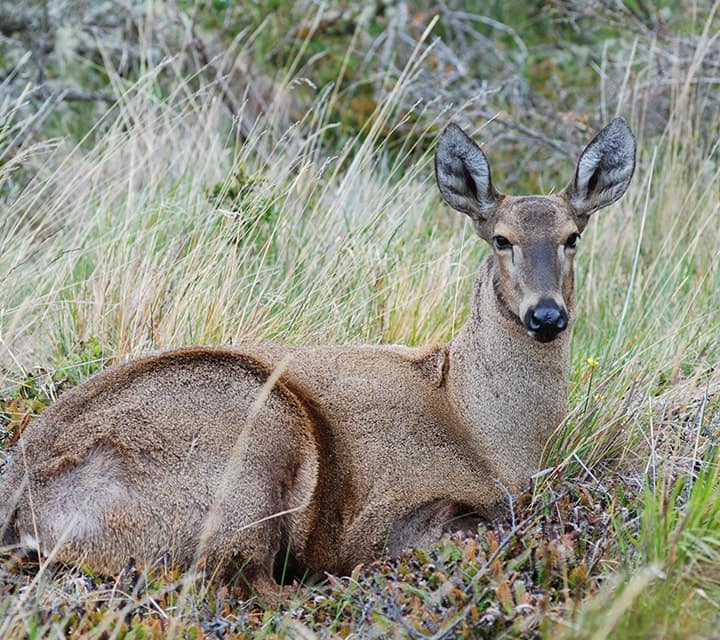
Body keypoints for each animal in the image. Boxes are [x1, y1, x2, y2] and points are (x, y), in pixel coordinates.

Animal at [0, 119, 632, 600]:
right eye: (501, 239)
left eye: (573, 236)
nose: (546, 315)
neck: (487, 431)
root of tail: (21, 505)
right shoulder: (386, 508)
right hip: (254, 435)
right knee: (235, 580)